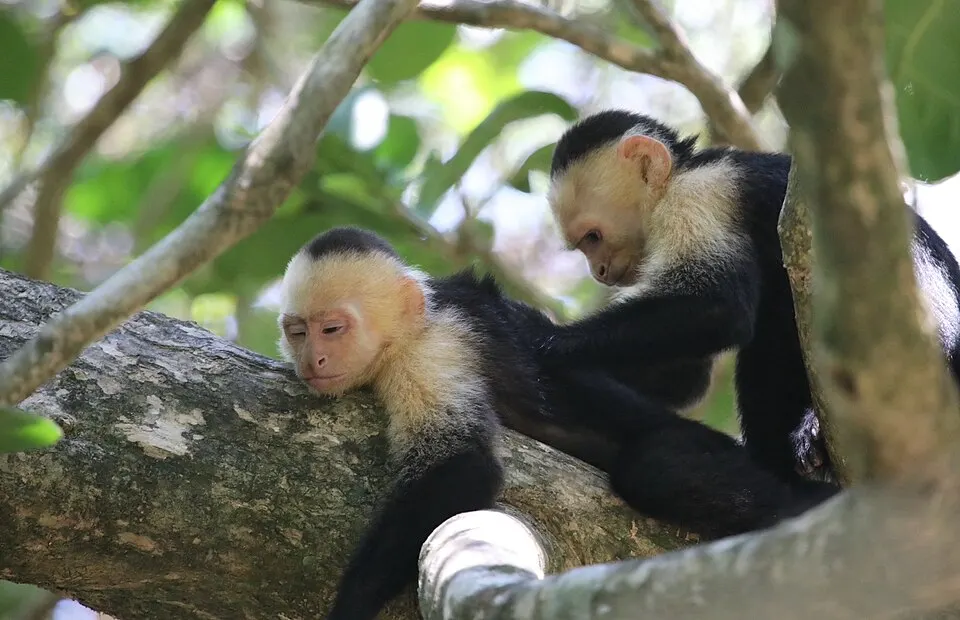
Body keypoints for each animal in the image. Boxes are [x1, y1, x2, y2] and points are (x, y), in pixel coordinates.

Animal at [277, 226, 835, 620]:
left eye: (333, 329)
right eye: (298, 332)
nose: (313, 361)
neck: (408, 331)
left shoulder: (435, 348)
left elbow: (464, 467)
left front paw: (347, 608)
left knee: (657, 464)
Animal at [541, 109, 960, 488]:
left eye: (592, 237)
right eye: (585, 246)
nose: (599, 271)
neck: (679, 177)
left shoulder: (697, 199)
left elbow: (718, 306)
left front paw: (550, 339)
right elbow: (688, 376)